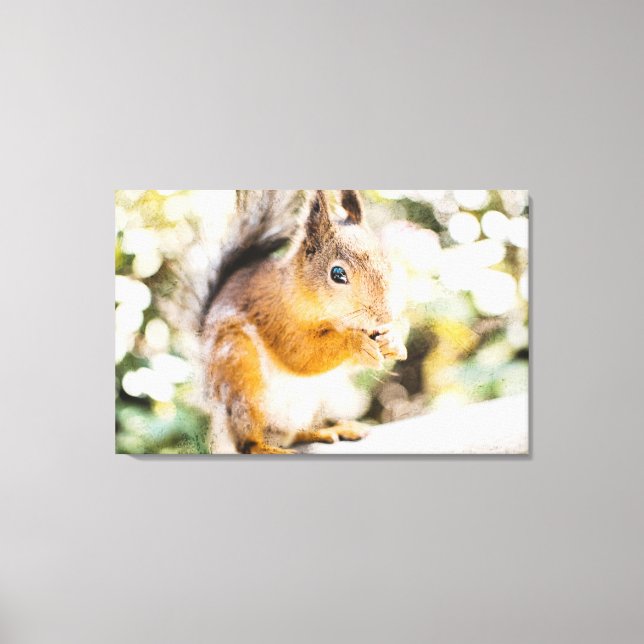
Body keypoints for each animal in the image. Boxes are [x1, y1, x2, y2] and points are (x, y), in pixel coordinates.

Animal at [200, 190, 408, 454]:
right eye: (337, 274)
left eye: (387, 262)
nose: (386, 316)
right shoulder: (276, 316)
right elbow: (301, 354)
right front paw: (356, 343)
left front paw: (394, 341)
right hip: (241, 379)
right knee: (246, 442)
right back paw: (266, 448)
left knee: (295, 432)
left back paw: (330, 430)